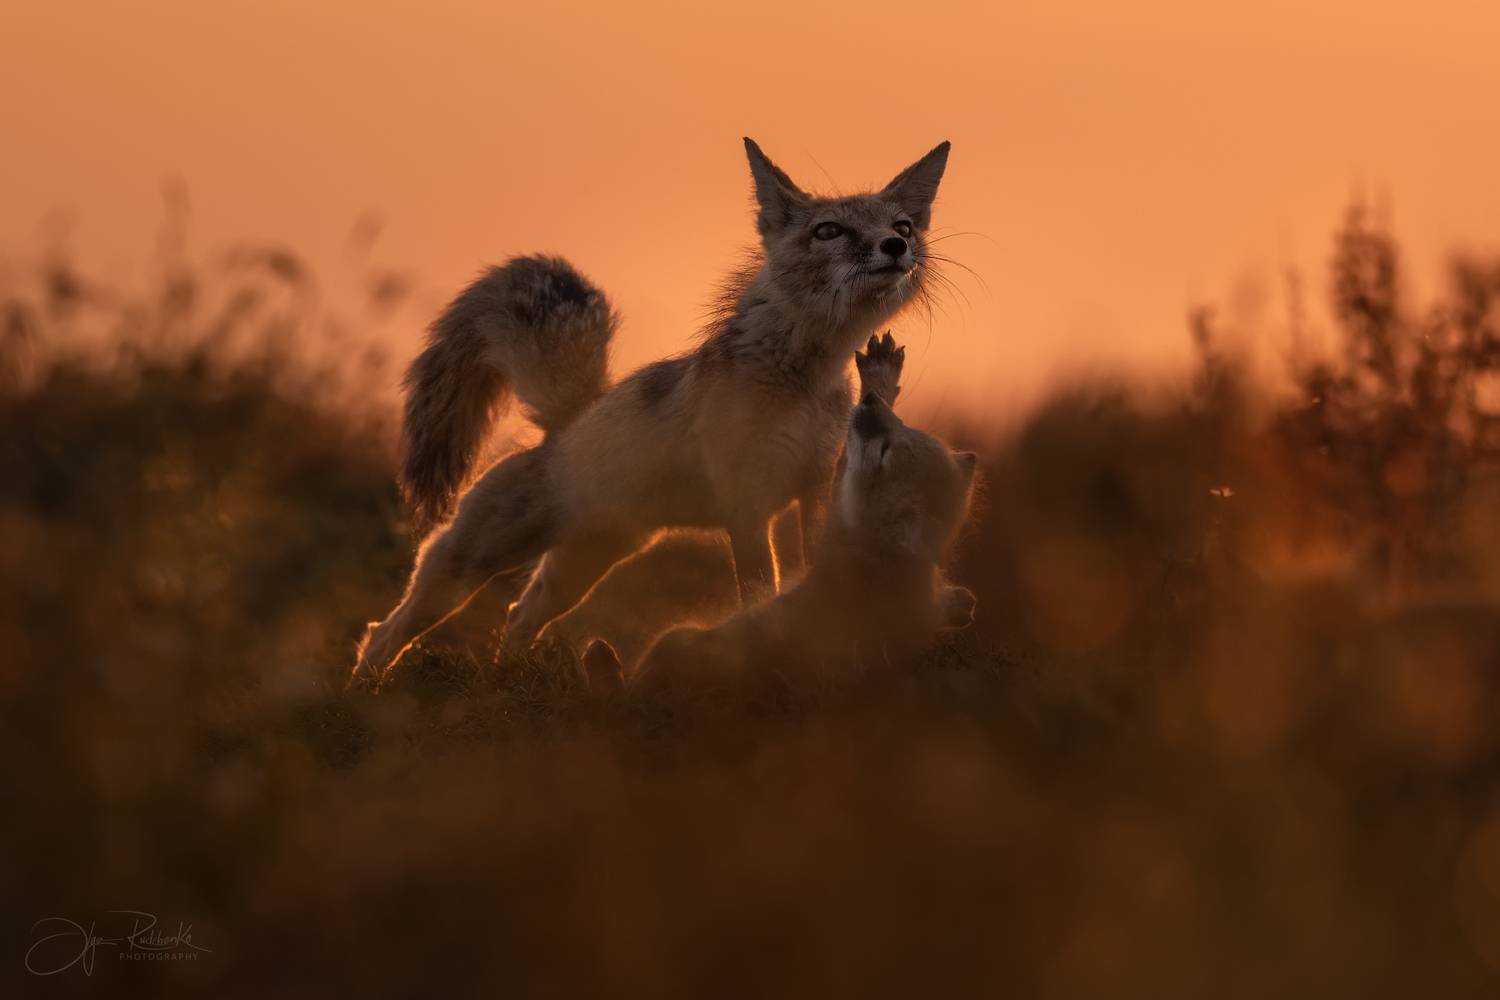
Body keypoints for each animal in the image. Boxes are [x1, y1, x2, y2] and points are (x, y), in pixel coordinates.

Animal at [351, 137, 952, 688]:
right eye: (829, 231)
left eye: (903, 224)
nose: (895, 246)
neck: (802, 381)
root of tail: (568, 425)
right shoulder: (747, 504)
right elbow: (760, 589)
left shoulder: (815, 489)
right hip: (467, 569)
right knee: (385, 628)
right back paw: (364, 691)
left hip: (580, 571)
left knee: (516, 616)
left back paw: (510, 681)